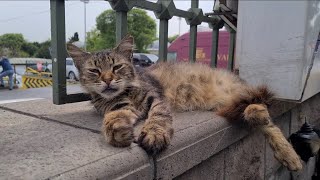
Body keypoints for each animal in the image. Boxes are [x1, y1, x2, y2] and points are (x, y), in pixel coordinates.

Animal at [67, 35, 302, 172]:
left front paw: (154, 134)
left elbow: (159, 118)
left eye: (117, 67)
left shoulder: (156, 98)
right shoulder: (118, 107)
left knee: (268, 120)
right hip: (231, 104)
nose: (107, 80)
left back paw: (290, 155)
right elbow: (113, 117)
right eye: (94, 71)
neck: (124, 93)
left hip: (241, 95)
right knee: (259, 115)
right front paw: (116, 130)